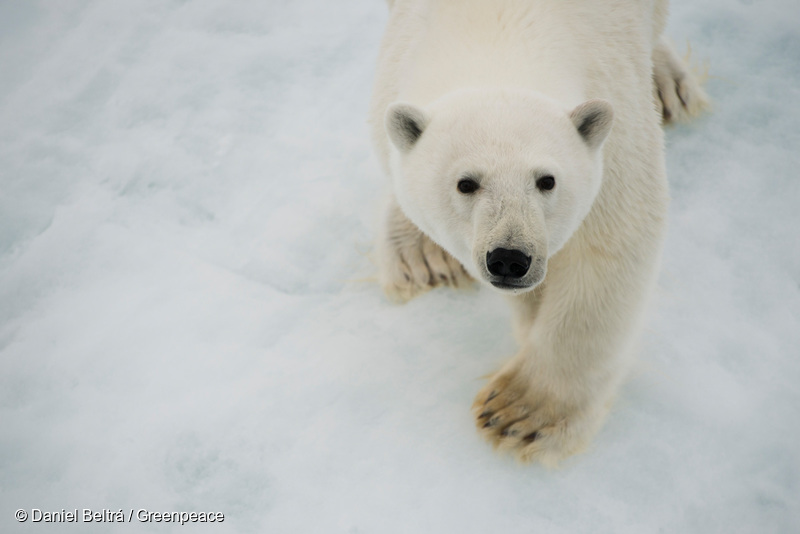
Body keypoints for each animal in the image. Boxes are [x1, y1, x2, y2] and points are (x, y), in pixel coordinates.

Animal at [368, 0, 708, 466]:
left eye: (546, 180)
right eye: (466, 183)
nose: (510, 259)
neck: (496, 26)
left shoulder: (616, 126)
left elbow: (610, 246)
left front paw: (519, 415)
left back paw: (669, 84)